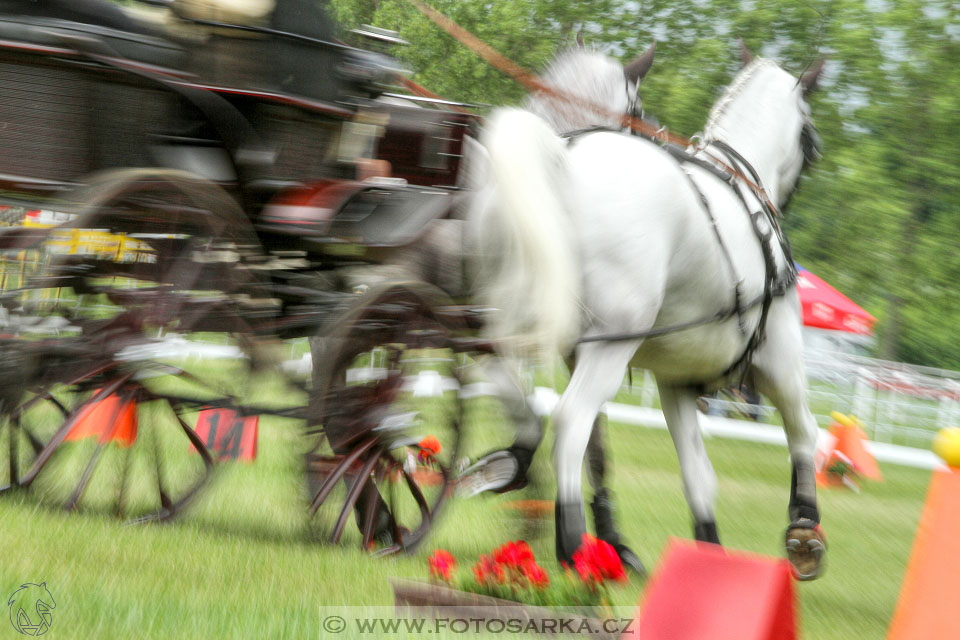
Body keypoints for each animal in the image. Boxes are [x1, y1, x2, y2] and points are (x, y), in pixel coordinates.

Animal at [476, 48, 828, 580]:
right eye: (809, 137)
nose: (782, 201)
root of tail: (561, 162)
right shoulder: (779, 360)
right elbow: (804, 430)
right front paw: (804, 528)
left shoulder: (675, 380)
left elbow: (695, 472)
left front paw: (706, 556)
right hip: (614, 342)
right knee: (571, 421)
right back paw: (573, 546)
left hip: (510, 316)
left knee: (505, 380)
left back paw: (515, 462)